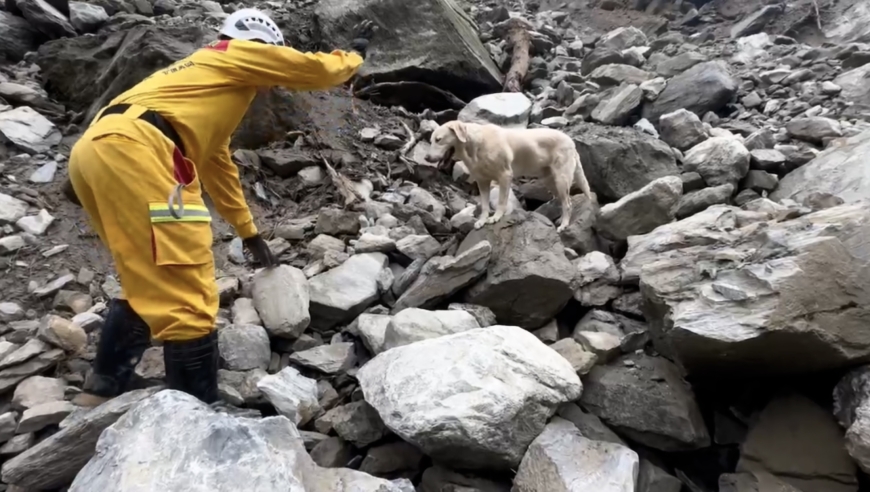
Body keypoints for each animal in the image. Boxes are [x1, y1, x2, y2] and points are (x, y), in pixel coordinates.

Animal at [426, 121, 596, 233]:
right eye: (431, 140)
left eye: (439, 139)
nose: (426, 157)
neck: (475, 146)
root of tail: (571, 141)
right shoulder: (482, 182)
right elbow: (485, 205)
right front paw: (482, 220)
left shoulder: (505, 176)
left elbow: (501, 201)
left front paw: (496, 217)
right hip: (549, 180)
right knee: (563, 201)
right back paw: (562, 219)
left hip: (561, 179)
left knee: (568, 203)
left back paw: (564, 225)